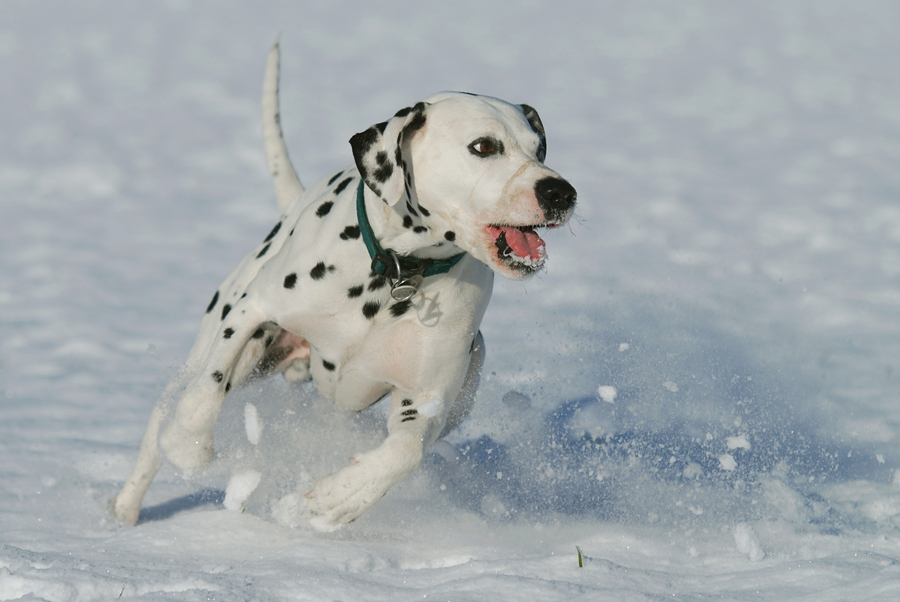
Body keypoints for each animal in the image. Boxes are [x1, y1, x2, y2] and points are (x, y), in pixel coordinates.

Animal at [112, 43, 576, 528]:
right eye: (484, 146)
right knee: (167, 411)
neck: (395, 275)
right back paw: (126, 507)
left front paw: (343, 496)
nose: (560, 192)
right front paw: (190, 448)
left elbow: (405, 451)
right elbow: (206, 391)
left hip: (469, 373)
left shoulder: (425, 397)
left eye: (539, 148)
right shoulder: (251, 310)